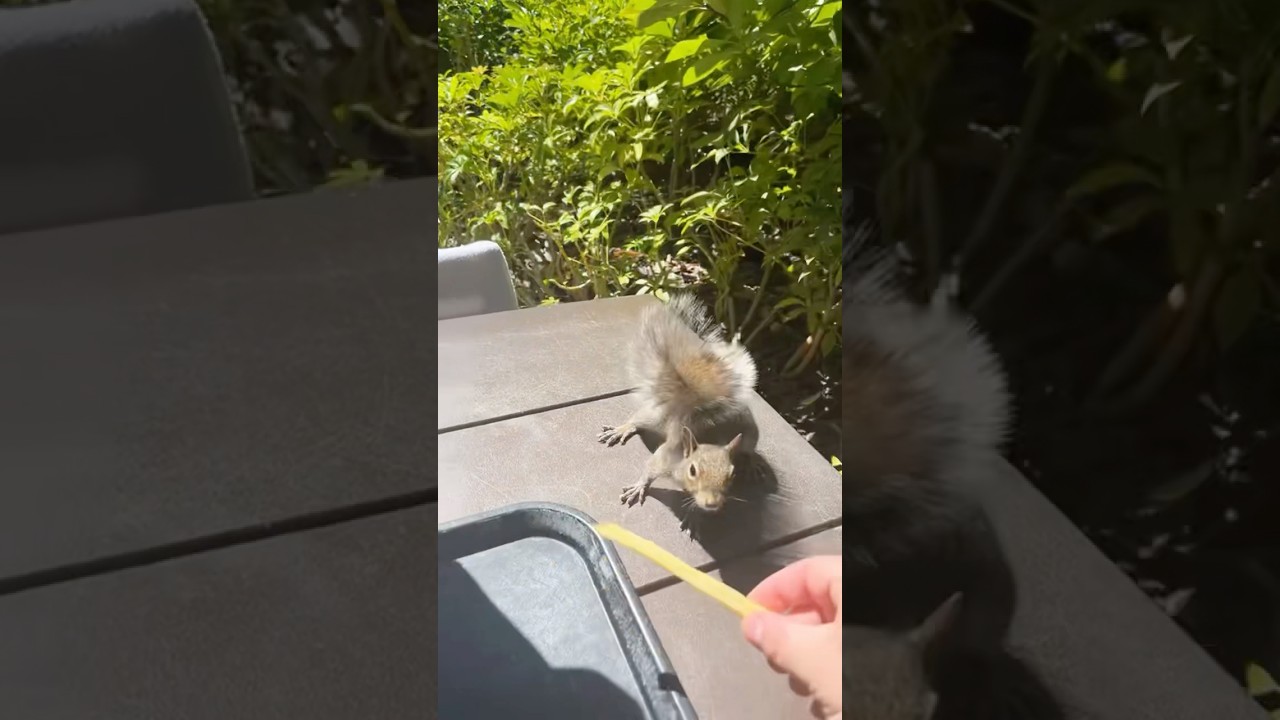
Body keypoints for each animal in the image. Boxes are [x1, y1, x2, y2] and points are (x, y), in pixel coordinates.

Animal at [596, 293, 760, 532]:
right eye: (692, 470)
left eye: (731, 474)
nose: (712, 504)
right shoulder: (666, 457)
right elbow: (649, 469)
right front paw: (639, 486)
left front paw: (696, 516)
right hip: (656, 416)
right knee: (639, 419)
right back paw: (621, 429)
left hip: (751, 433)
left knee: (749, 448)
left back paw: (752, 462)